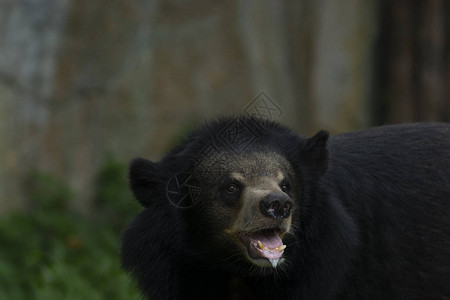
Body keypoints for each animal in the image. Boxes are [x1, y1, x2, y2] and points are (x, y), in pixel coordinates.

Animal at [120, 116, 450, 298]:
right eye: (231, 186)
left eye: (286, 184)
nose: (277, 205)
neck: (238, 272)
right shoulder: (177, 269)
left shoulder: (326, 264)